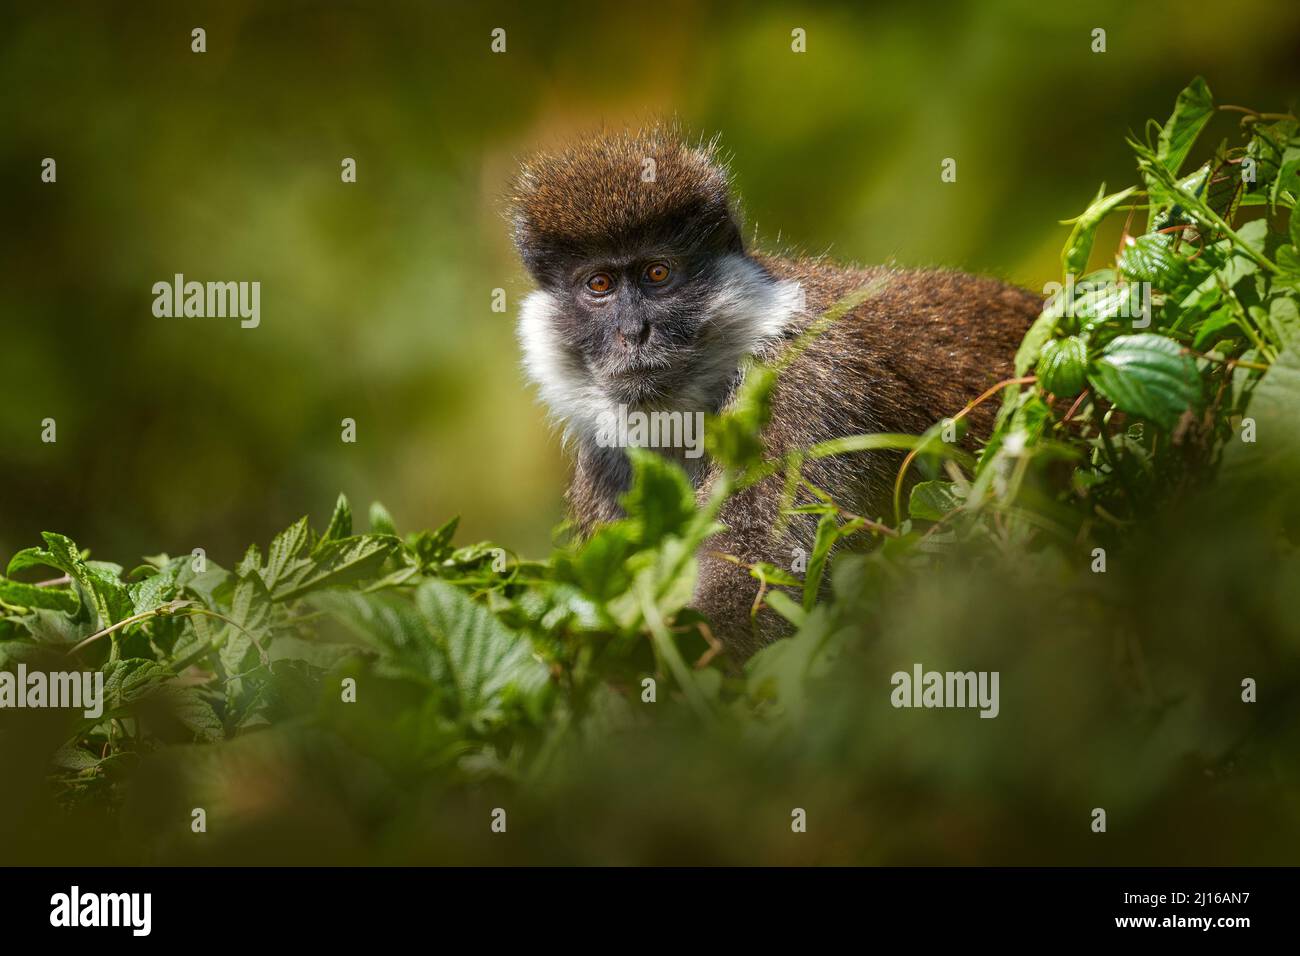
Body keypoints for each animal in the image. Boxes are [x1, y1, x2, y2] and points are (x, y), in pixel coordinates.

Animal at [504, 125, 1034, 658]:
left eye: (658, 273)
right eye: (599, 284)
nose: (634, 332)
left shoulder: (803, 387)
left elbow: (766, 580)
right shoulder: (607, 459)